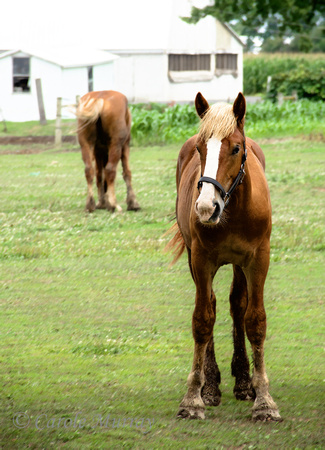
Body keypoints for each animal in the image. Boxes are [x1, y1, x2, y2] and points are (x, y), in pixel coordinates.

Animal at [168, 91, 280, 422]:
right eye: (200, 148)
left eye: (236, 148)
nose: (207, 207)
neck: (233, 211)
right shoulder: (201, 260)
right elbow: (203, 320)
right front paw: (194, 397)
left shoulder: (258, 260)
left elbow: (254, 320)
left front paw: (264, 399)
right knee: (213, 304)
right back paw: (212, 385)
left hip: (240, 266)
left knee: (236, 305)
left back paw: (244, 381)